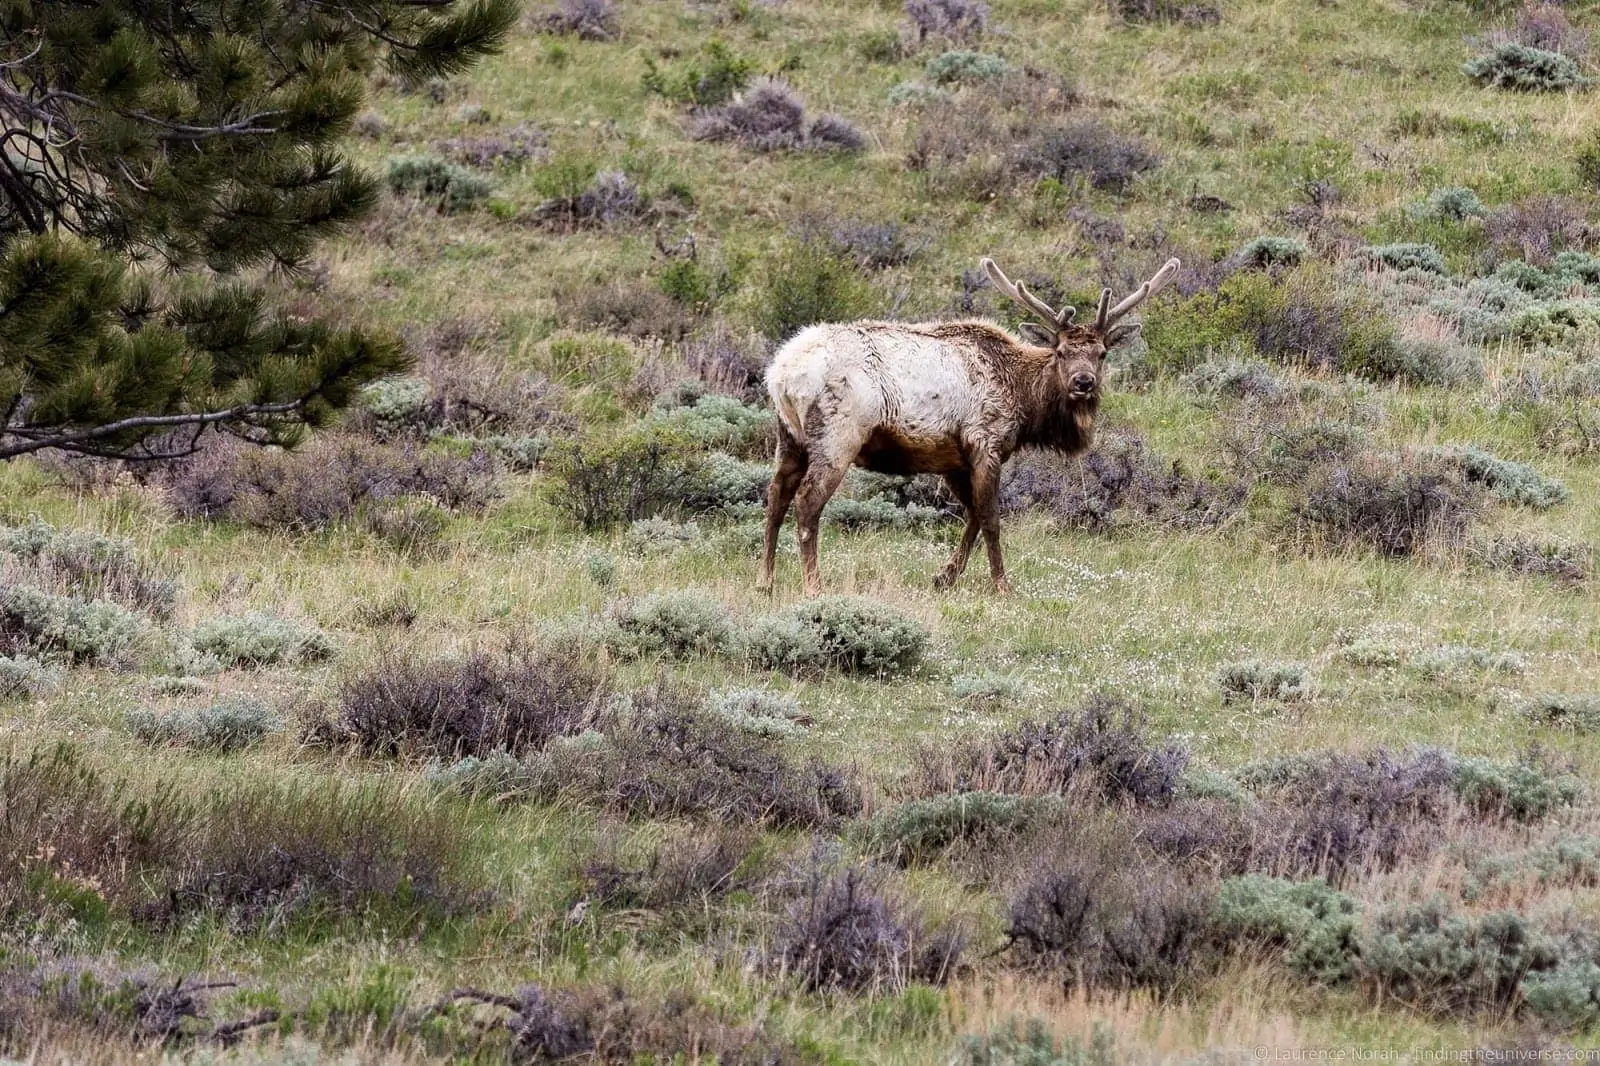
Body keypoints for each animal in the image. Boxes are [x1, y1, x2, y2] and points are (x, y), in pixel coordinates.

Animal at [757, 256, 1181, 597]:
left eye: (1102, 353)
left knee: (775, 497)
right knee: (807, 503)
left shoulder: (952, 458)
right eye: (1060, 352)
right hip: (838, 435)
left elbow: (973, 515)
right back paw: (814, 587)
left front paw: (944, 577)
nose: (1083, 382)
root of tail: (780, 374)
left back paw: (766, 581)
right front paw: (1002, 586)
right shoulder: (984, 441)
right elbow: (990, 518)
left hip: (788, 437)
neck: (1024, 402)